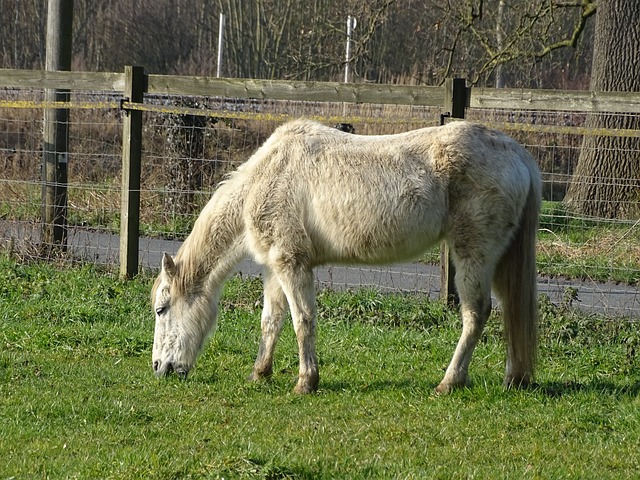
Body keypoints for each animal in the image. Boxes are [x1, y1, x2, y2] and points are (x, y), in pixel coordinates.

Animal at [151, 119, 541, 394]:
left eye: (161, 309)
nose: (159, 367)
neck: (261, 183)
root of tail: (518, 153)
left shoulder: (293, 264)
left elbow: (302, 321)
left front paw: (306, 382)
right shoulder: (275, 268)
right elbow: (271, 321)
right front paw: (260, 373)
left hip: (473, 254)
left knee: (476, 314)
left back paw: (449, 382)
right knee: (509, 310)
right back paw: (513, 378)